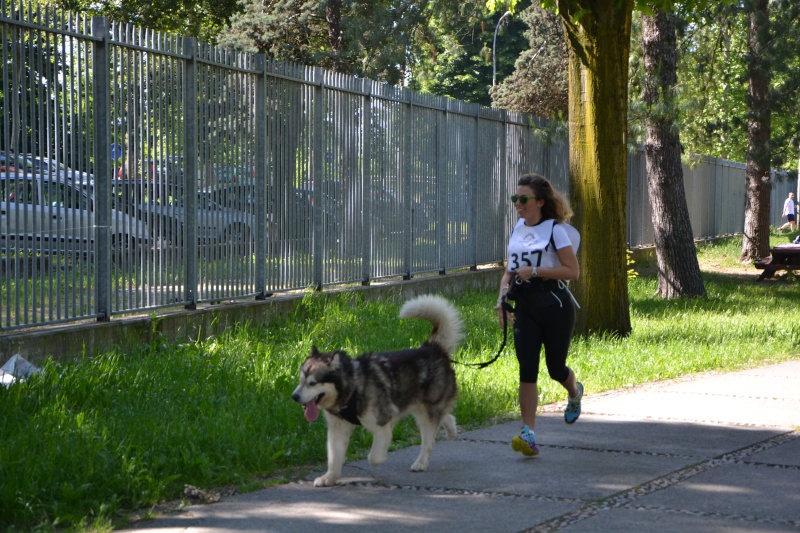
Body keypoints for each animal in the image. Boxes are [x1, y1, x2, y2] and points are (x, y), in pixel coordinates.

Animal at [290, 296, 462, 486]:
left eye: (312, 383)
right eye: (300, 381)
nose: (294, 397)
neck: (353, 388)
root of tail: (432, 347)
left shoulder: (383, 424)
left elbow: (373, 457)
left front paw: (379, 459)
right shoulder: (337, 429)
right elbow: (334, 458)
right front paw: (330, 477)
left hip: (425, 413)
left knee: (429, 440)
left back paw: (421, 463)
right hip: (419, 407)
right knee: (445, 416)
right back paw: (452, 430)